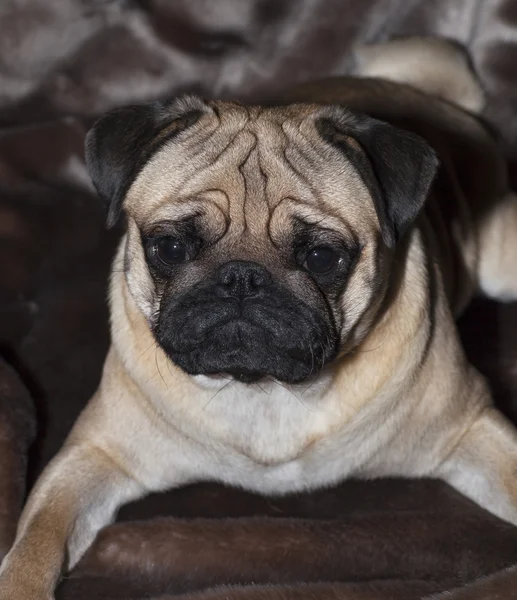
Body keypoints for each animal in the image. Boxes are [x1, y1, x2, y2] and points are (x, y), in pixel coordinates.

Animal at [1, 38, 516, 600]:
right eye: (170, 247)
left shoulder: (469, 427)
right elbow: (36, 540)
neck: (265, 392)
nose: (242, 279)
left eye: (321, 257)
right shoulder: (93, 455)